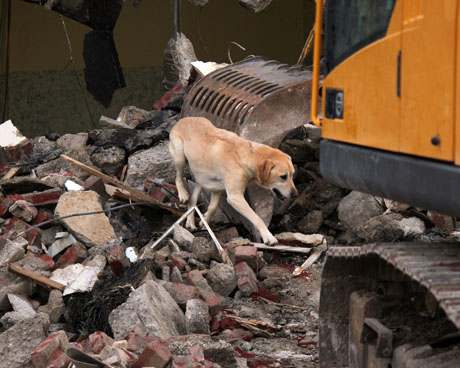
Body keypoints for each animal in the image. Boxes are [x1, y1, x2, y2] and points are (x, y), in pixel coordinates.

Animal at [170, 116, 298, 246]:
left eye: (292, 174)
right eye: (283, 176)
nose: (295, 194)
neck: (247, 155)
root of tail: (183, 120)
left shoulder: (217, 188)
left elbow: (213, 207)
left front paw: (204, 220)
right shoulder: (235, 197)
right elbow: (256, 217)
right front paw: (268, 236)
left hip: (201, 177)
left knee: (193, 199)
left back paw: (190, 221)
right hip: (180, 158)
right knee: (178, 178)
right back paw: (183, 194)